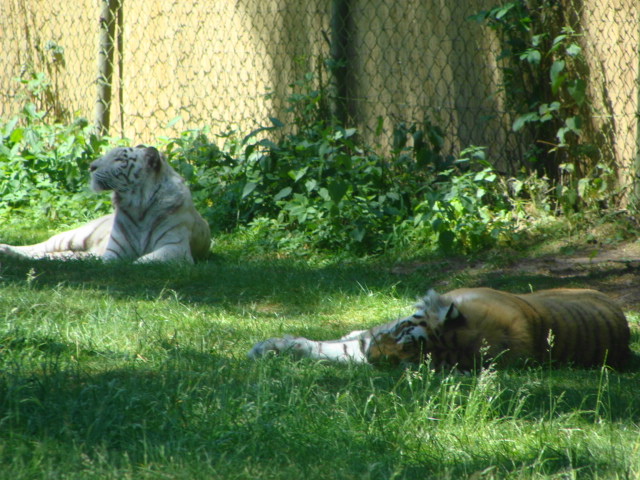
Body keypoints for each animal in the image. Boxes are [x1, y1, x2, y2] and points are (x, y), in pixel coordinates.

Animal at [0, 145, 211, 264]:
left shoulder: (175, 248)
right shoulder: (114, 253)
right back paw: (7, 249)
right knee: (41, 247)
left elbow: (144, 261)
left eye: (118, 159)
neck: (139, 205)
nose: (91, 166)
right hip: (75, 236)